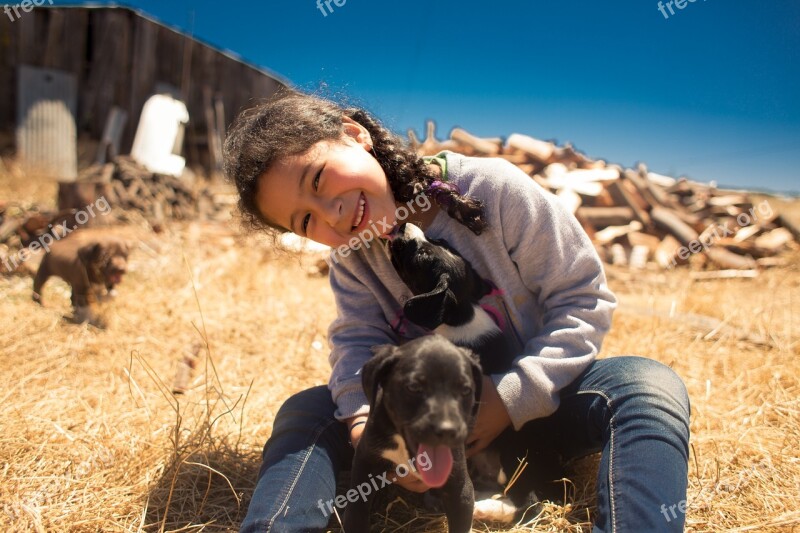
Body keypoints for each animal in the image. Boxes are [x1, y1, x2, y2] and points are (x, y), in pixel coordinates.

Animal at [342, 336, 482, 532]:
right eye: (414, 387)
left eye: (466, 390)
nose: (448, 431)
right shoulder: (364, 459)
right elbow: (355, 511)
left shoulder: (461, 490)